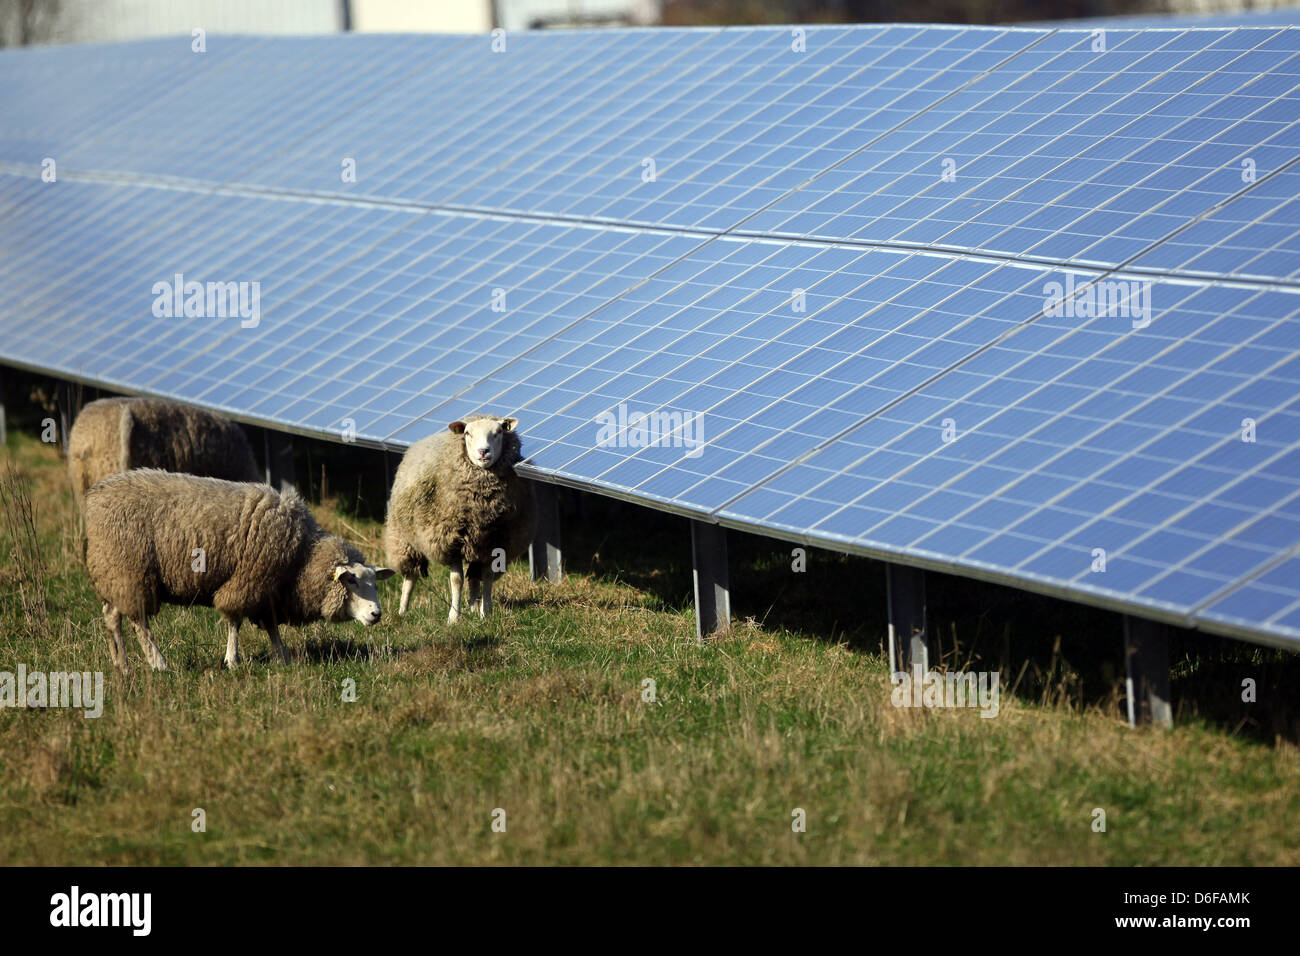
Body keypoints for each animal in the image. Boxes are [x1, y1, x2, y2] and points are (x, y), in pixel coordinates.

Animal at [83, 470, 392, 671]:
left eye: (375, 583)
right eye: (350, 580)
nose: (377, 614)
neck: (302, 555)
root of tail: (94, 496)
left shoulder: (268, 591)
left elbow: (271, 627)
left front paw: (283, 658)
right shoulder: (248, 580)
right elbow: (235, 620)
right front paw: (232, 660)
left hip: (113, 572)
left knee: (112, 617)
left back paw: (122, 664)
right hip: (130, 570)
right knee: (140, 621)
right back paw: (159, 664)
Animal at [382, 416, 535, 624]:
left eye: (498, 432)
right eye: (468, 433)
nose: (483, 451)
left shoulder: (493, 544)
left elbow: (486, 576)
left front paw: (485, 613)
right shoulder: (450, 543)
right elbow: (456, 580)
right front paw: (453, 617)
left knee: (474, 578)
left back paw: (473, 608)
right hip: (403, 539)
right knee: (410, 577)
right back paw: (402, 611)